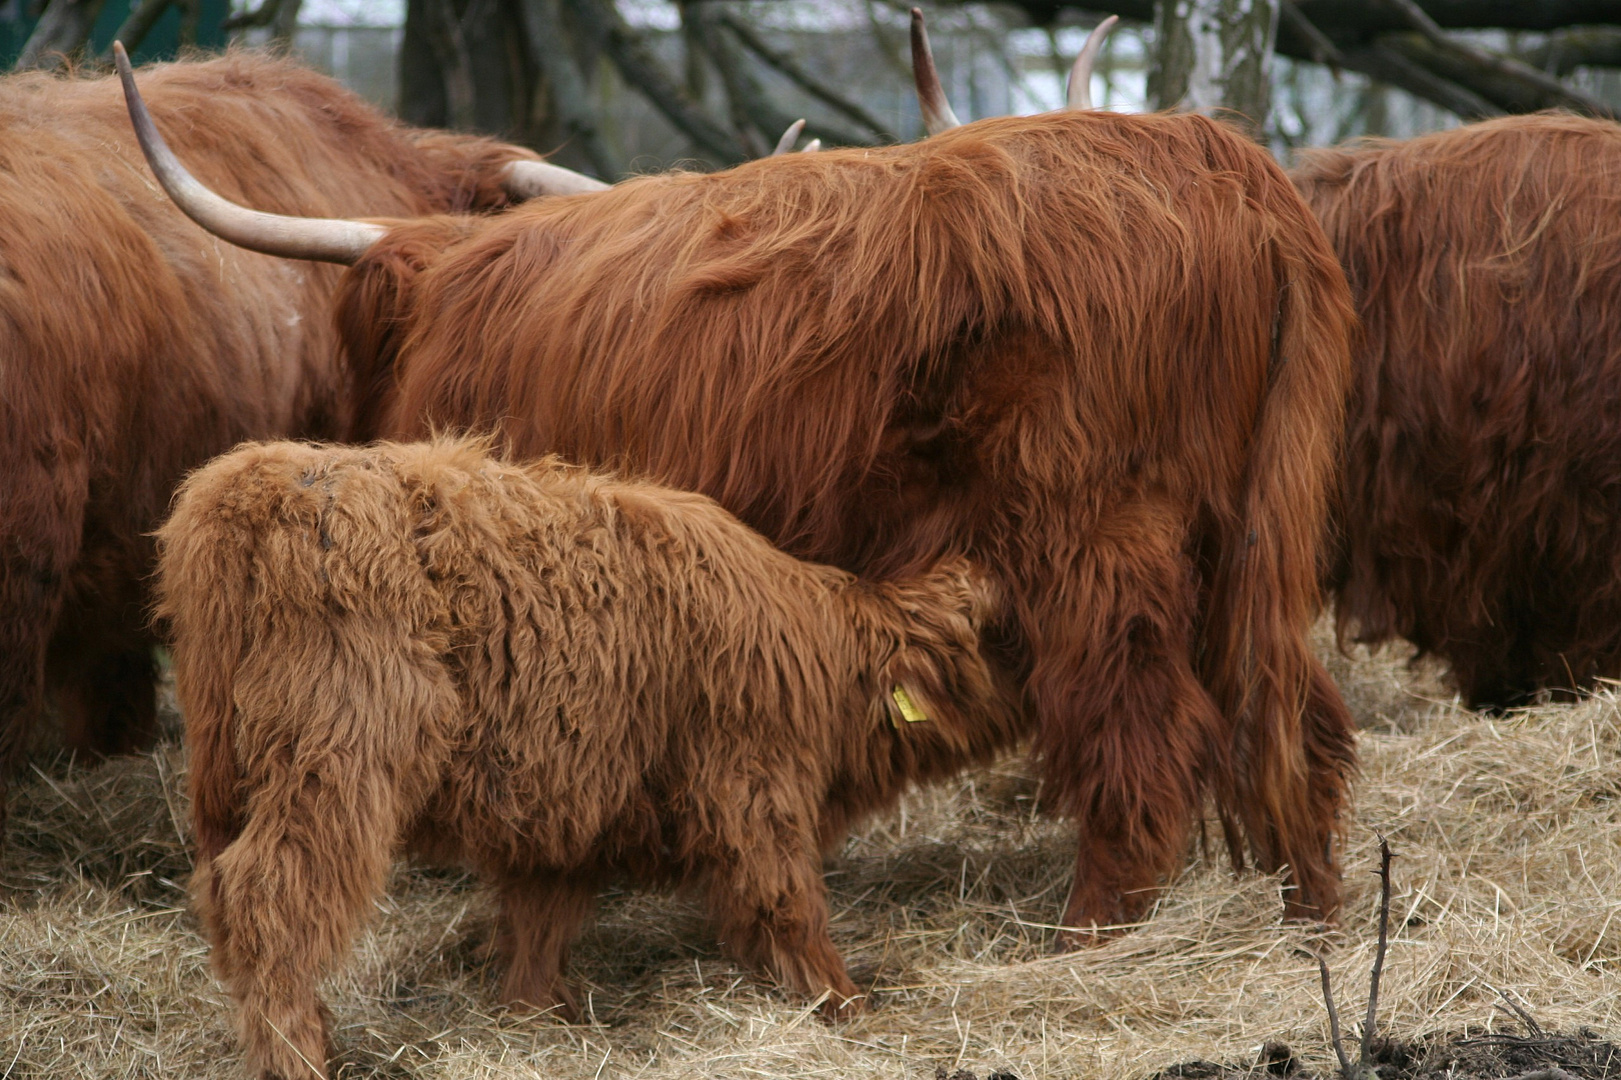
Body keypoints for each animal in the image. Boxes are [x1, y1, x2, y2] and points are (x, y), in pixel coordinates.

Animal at [161, 434, 1024, 1076]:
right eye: (1003, 638)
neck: (815, 650)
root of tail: (256, 480)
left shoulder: (561, 805)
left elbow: (540, 921)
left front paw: (532, 1016)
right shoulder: (753, 786)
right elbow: (789, 905)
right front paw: (844, 1005)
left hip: (224, 772)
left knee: (226, 901)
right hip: (338, 760)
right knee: (270, 899)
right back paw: (297, 1059)